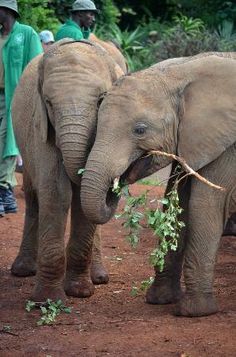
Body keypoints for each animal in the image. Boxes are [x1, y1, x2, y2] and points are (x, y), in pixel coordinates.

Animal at [11, 38, 125, 300]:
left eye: (101, 100)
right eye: (49, 103)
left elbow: (84, 200)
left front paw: (80, 292)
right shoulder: (41, 128)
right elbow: (57, 193)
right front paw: (47, 300)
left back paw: (99, 277)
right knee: (33, 197)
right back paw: (22, 270)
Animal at [80, 51, 236, 316]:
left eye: (140, 130)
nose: (115, 185)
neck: (181, 73)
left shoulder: (227, 146)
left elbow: (205, 207)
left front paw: (193, 312)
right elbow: (177, 205)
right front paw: (160, 299)